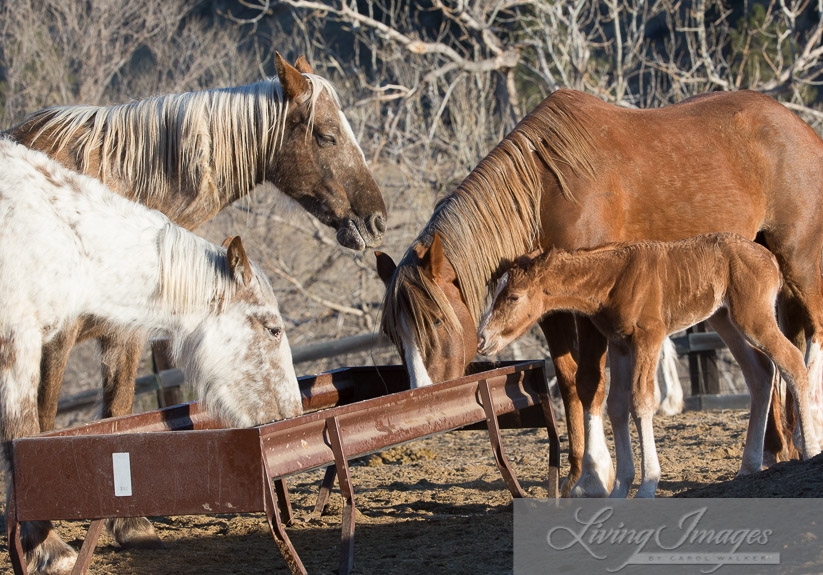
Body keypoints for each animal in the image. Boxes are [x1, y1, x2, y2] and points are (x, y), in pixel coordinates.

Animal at [0, 138, 304, 572]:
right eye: (273, 329)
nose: (291, 415)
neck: (52, 228)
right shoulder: (18, 341)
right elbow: (20, 432)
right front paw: (49, 548)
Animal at [480, 232, 820, 498]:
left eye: (513, 297)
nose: (483, 338)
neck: (614, 278)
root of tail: (770, 259)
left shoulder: (649, 336)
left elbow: (641, 402)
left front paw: (647, 486)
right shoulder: (619, 344)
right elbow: (617, 406)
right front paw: (619, 489)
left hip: (753, 317)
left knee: (791, 362)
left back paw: (810, 450)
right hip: (724, 318)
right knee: (760, 372)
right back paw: (748, 467)